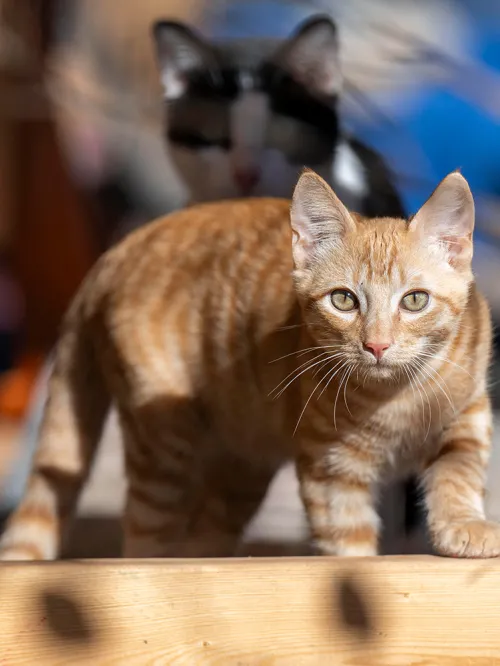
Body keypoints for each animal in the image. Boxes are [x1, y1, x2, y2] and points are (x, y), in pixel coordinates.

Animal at [1, 169, 498, 556]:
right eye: (343, 300)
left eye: (414, 301)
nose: (377, 346)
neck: (398, 398)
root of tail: (120, 247)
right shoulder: (330, 468)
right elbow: (348, 544)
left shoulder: (469, 413)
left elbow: (459, 473)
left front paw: (465, 526)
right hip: (163, 449)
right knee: (144, 536)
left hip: (242, 467)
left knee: (204, 533)